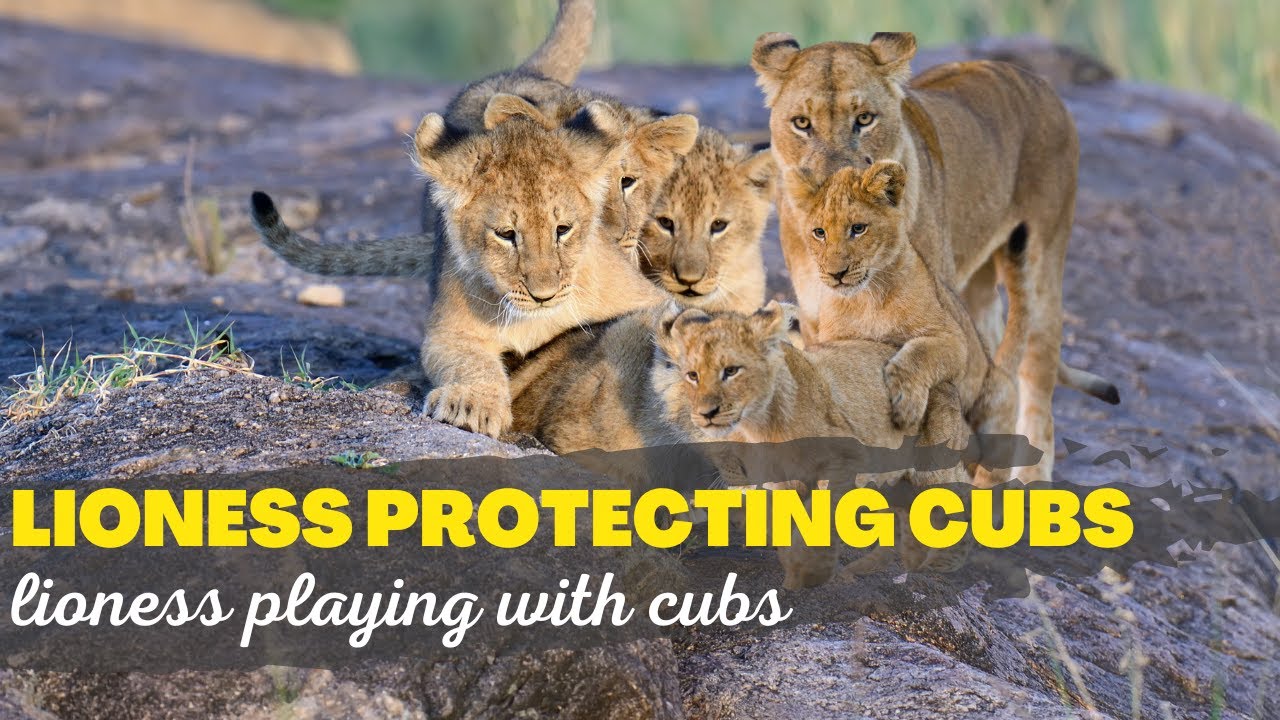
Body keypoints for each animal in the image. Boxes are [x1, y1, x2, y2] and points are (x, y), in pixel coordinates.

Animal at [751, 31, 1119, 481]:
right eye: (801, 123)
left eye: (865, 119)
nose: (834, 186)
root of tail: (1036, 80)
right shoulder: (820, 318)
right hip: (978, 288)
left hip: (1043, 260)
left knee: (1035, 382)